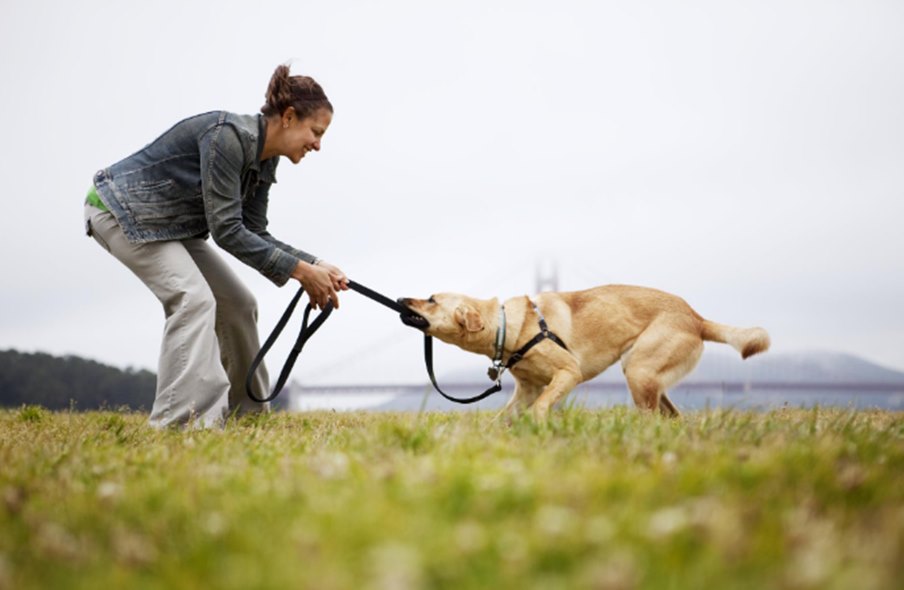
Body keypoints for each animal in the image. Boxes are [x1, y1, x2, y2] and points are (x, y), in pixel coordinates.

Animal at [400, 286, 768, 420]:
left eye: (431, 299)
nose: (401, 299)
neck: (508, 326)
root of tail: (697, 317)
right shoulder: (526, 390)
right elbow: (503, 417)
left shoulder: (568, 374)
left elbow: (543, 405)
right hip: (646, 374)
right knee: (672, 416)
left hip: (639, 371)